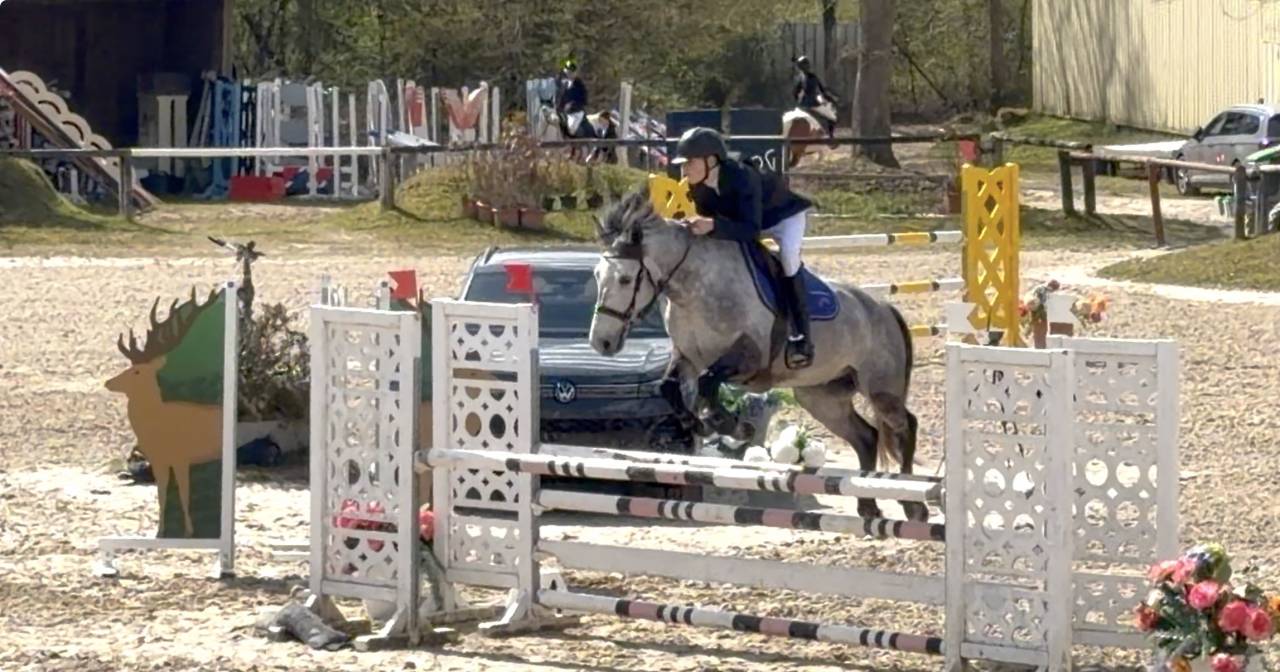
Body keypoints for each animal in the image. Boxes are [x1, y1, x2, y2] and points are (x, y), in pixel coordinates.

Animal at [588, 192, 925, 521]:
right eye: (596, 276)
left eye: (625, 279)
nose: (602, 342)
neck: (694, 287)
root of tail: (884, 309)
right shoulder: (688, 357)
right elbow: (668, 387)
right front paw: (703, 424)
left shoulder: (749, 356)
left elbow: (709, 382)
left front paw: (728, 424)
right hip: (820, 397)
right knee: (866, 437)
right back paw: (868, 506)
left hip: (880, 388)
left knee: (905, 425)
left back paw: (913, 503)